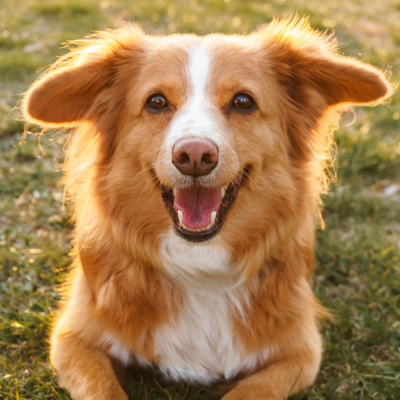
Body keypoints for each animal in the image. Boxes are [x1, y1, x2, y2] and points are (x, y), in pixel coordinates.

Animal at [22, 18, 390, 400]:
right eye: (156, 102)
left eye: (243, 102)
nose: (195, 155)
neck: (199, 263)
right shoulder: (73, 339)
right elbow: (104, 390)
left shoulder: (300, 351)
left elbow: (250, 391)